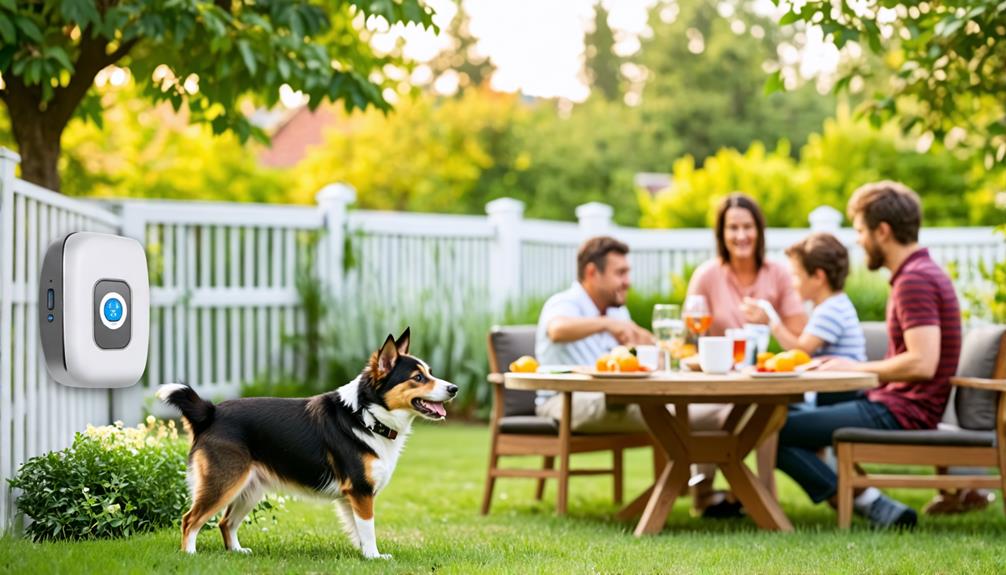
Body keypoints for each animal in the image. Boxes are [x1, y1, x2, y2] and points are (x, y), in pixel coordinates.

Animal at [155, 327, 456, 558]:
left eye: (430, 372)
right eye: (418, 378)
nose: (454, 388)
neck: (366, 415)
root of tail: (211, 412)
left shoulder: (353, 496)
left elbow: (359, 530)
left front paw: (364, 556)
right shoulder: (360, 491)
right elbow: (368, 529)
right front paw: (374, 557)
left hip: (249, 489)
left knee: (225, 522)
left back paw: (236, 552)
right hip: (223, 483)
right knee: (189, 520)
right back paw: (190, 555)